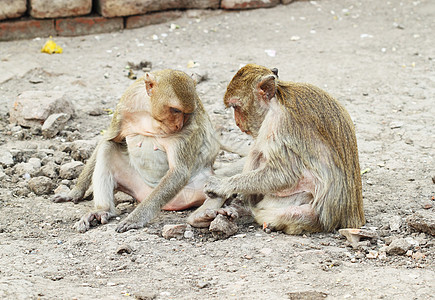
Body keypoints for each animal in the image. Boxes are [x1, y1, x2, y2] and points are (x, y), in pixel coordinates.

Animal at [52, 69, 220, 232]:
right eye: (175, 110)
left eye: (186, 113)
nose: (179, 125)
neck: (151, 115)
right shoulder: (124, 106)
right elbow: (108, 139)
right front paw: (74, 193)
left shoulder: (189, 126)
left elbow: (179, 171)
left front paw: (135, 219)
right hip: (135, 185)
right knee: (108, 147)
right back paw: (102, 210)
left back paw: (201, 217)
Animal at [189, 64, 366, 236]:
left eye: (235, 106)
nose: (237, 122)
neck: (278, 98)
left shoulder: (281, 125)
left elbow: (285, 174)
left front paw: (222, 185)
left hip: (310, 215)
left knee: (291, 213)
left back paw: (247, 211)